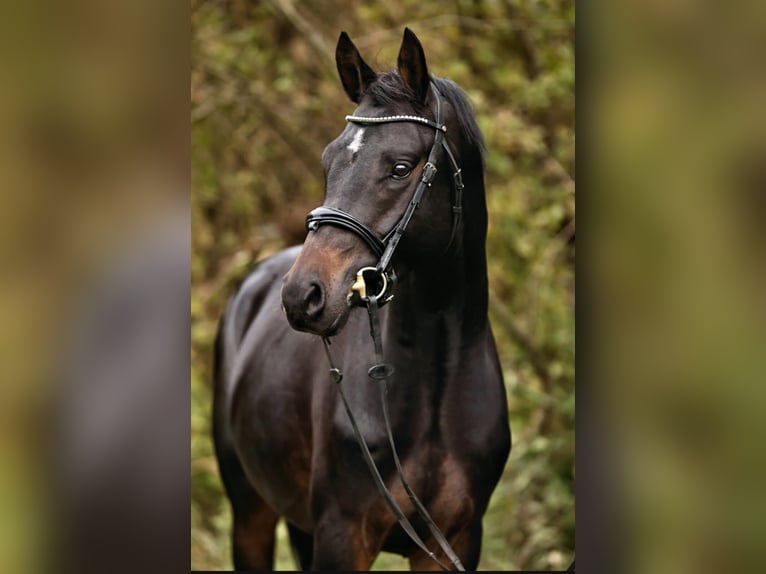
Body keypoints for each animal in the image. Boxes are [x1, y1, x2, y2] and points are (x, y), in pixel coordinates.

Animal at [213, 28, 512, 572]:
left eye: (400, 168)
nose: (302, 295)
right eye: (328, 161)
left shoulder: (455, 541)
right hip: (250, 515)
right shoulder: (342, 535)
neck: (434, 387)